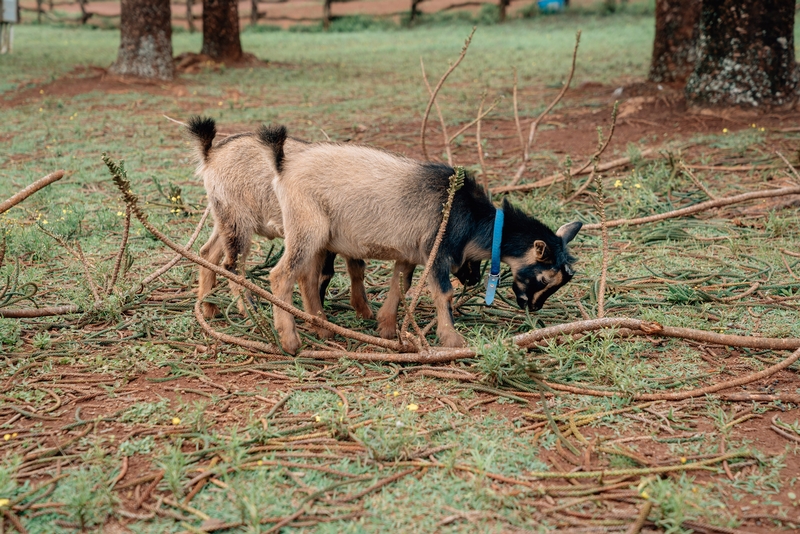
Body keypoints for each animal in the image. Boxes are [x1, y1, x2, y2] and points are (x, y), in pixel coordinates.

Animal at [262, 127, 580, 356]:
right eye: (544, 279)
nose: (533, 308)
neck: (470, 215)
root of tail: (283, 166)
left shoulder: (408, 253)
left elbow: (399, 285)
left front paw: (387, 328)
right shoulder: (436, 252)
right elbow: (444, 293)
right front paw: (452, 339)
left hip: (318, 237)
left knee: (306, 277)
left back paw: (323, 328)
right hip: (308, 227)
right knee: (282, 275)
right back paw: (291, 341)